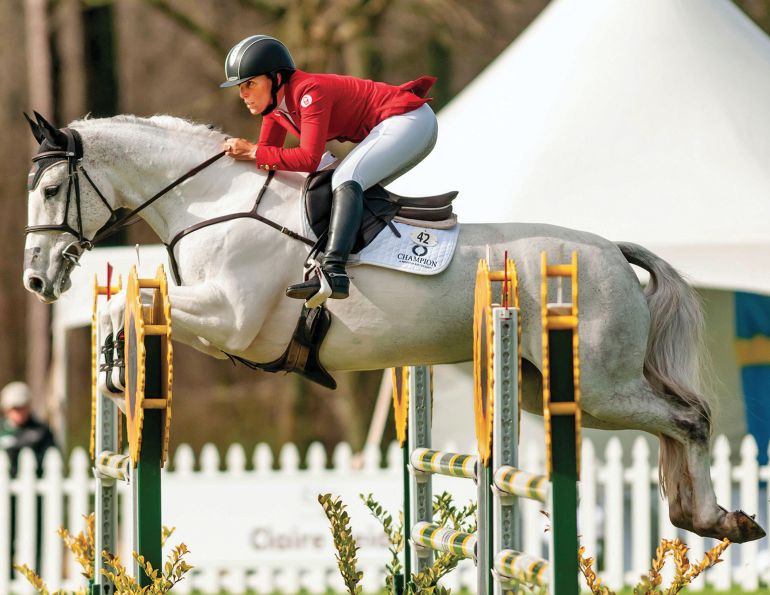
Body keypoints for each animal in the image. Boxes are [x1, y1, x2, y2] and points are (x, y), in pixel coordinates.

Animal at [21, 112, 764, 544]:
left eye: (52, 191)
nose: (36, 280)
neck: (214, 203)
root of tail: (613, 251)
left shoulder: (231, 318)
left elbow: (125, 310)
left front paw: (121, 383)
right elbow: (126, 310)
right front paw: (119, 384)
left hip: (601, 387)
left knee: (688, 417)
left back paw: (712, 517)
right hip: (541, 387)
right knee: (673, 422)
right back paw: (702, 516)